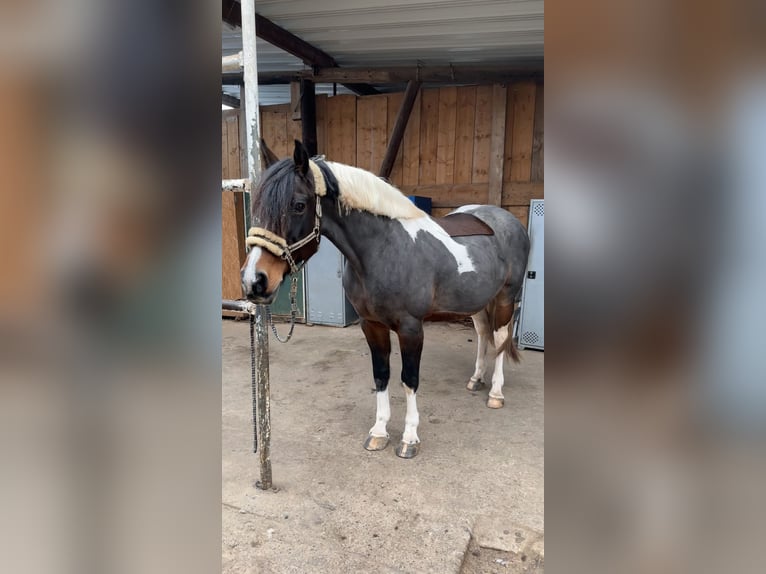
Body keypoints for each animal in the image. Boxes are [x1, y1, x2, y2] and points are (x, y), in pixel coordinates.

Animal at [243, 142, 532, 462]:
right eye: (256, 207)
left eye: (298, 205)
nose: (254, 281)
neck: (383, 249)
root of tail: (506, 220)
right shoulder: (372, 326)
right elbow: (381, 375)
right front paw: (379, 433)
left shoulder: (411, 328)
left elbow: (409, 379)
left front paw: (409, 438)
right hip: (477, 301)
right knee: (482, 333)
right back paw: (476, 379)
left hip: (506, 297)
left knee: (501, 338)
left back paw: (495, 393)